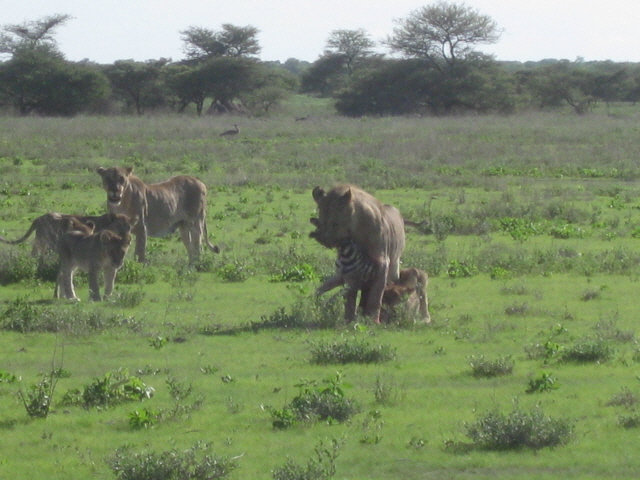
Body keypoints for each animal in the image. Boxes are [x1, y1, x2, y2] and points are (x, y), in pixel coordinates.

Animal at [310, 184, 404, 322]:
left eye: (335, 224)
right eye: (321, 221)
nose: (323, 239)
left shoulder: (382, 262)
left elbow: (376, 294)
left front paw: (373, 320)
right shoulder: (350, 271)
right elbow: (350, 295)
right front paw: (349, 318)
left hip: (394, 268)